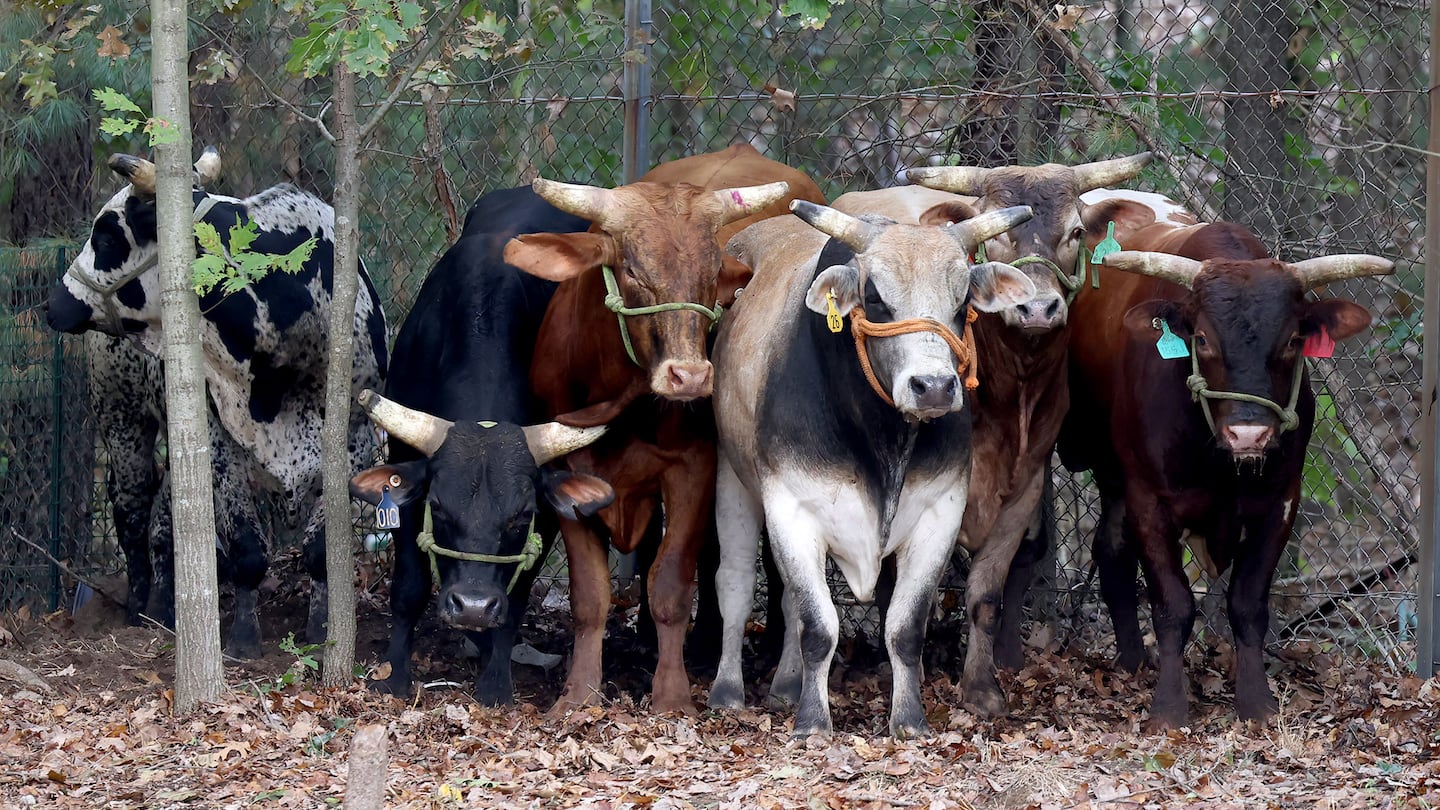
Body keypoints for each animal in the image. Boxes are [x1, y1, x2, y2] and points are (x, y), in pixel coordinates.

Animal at [46, 148, 388, 645]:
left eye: (107, 237)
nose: (54, 303)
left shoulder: (355, 440)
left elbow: (320, 551)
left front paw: (321, 626)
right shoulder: (220, 445)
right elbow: (248, 550)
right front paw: (245, 636)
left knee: (165, 518)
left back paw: (164, 608)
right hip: (122, 419)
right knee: (131, 510)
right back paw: (137, 609)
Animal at [504, 144, 823, 711]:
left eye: (712, 272)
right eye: (631, 270)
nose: (690, 376)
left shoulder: (694, 468)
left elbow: (671, 583)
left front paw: (671, 694)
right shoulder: (564, 473)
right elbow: (591, 594)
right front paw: (579, 693)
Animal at [714, 198, 1042, 735]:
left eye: (962, 301)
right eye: (874, 297)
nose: (934, 387)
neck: (883, 440)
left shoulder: (940, 512)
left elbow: (904, 627)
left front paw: (909, 719)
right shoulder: (790, 506)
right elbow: (818, 625)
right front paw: (812, 722)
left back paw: (785, 686)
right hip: (732, 477)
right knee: (737, 585)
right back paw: (727, 692)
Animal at [1054, 191, 1388, 729]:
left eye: (1293, 340)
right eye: (1202, 338)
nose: (1249, 431)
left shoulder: (1280, 503)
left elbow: (1248, 604)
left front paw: (1256, 702)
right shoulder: (1150, 500)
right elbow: (1173, 606)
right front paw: (1169, 709)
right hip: (1111, 469)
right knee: (1113, 550)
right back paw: (1133, 661)